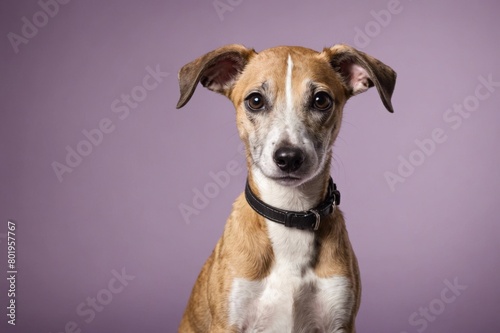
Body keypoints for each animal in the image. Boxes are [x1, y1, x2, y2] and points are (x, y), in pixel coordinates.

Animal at [178, 44, 396, 332]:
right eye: (255, 100)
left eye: (321, 100)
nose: (289, 157)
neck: (290, 212)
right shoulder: (228, 322)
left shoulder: (339, 320)